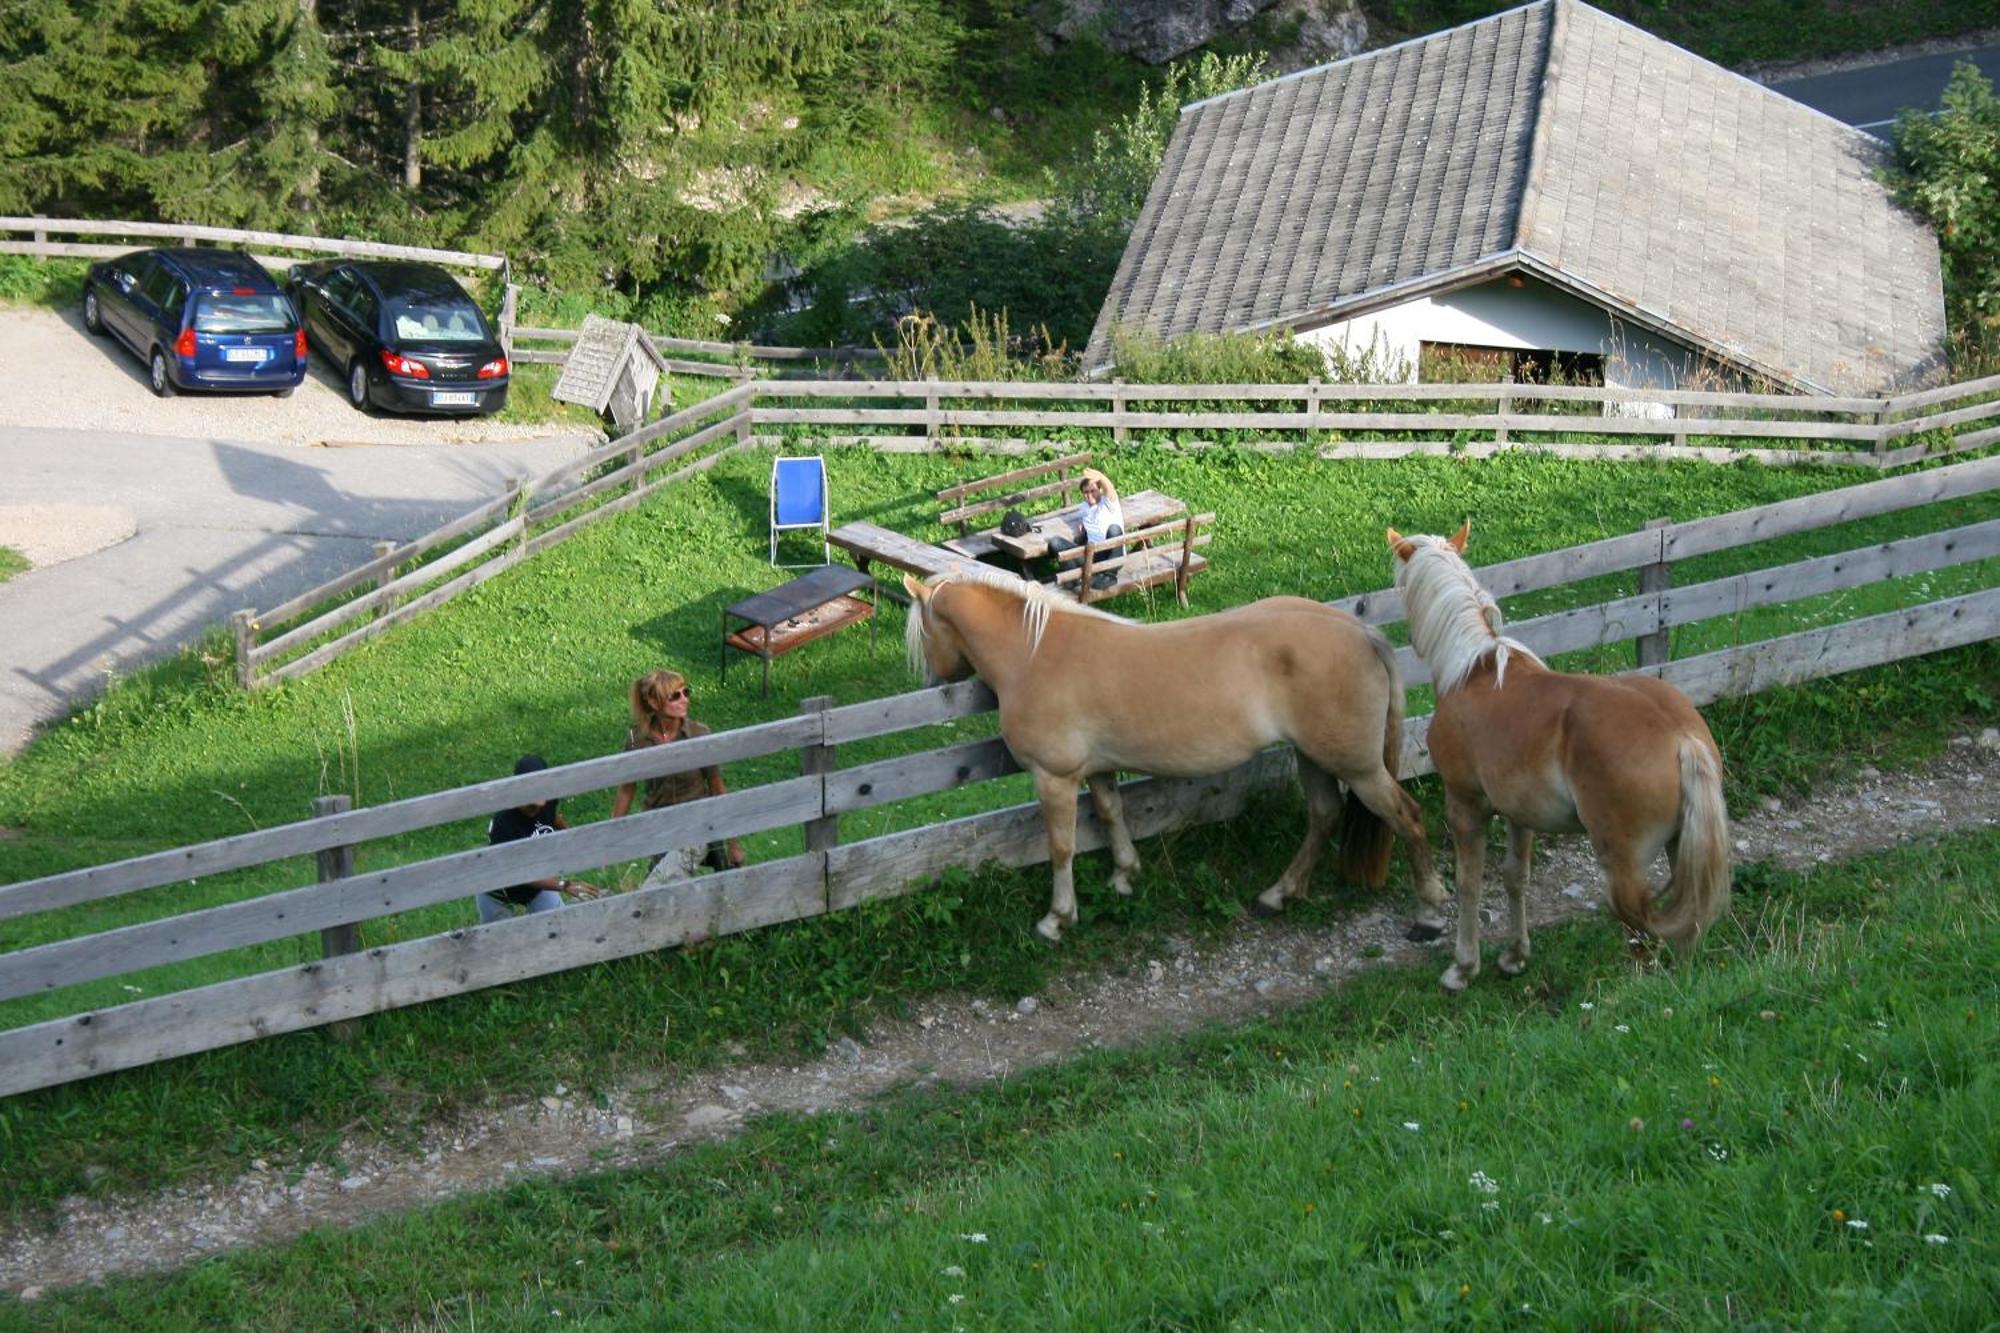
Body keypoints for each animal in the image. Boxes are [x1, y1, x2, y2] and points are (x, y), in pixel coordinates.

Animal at [900, 564, 1448, 940]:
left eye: (924, 631)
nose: (931, 680)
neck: (1035, 652)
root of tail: (1360, 632)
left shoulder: (1054, 777)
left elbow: (1062, 846)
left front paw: (1057, 918)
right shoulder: (1096, 771)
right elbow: (1111, 814)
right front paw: (1125, 876)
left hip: (1358, 767)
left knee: (1407, 816)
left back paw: (1429, 911)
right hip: (1314, 757)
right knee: (1324, 814)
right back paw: (1278, 894)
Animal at [1384, 520, 1728, 984]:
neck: (1470, 671)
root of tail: (1680, 737)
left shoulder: (1465, 805)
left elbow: (1470, 884)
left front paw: (1464, 966)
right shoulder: (1519, 814)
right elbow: (1515, 877)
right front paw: (1515, 955)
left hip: (1625, 870)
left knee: (1645, 941)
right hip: (1680, 852)